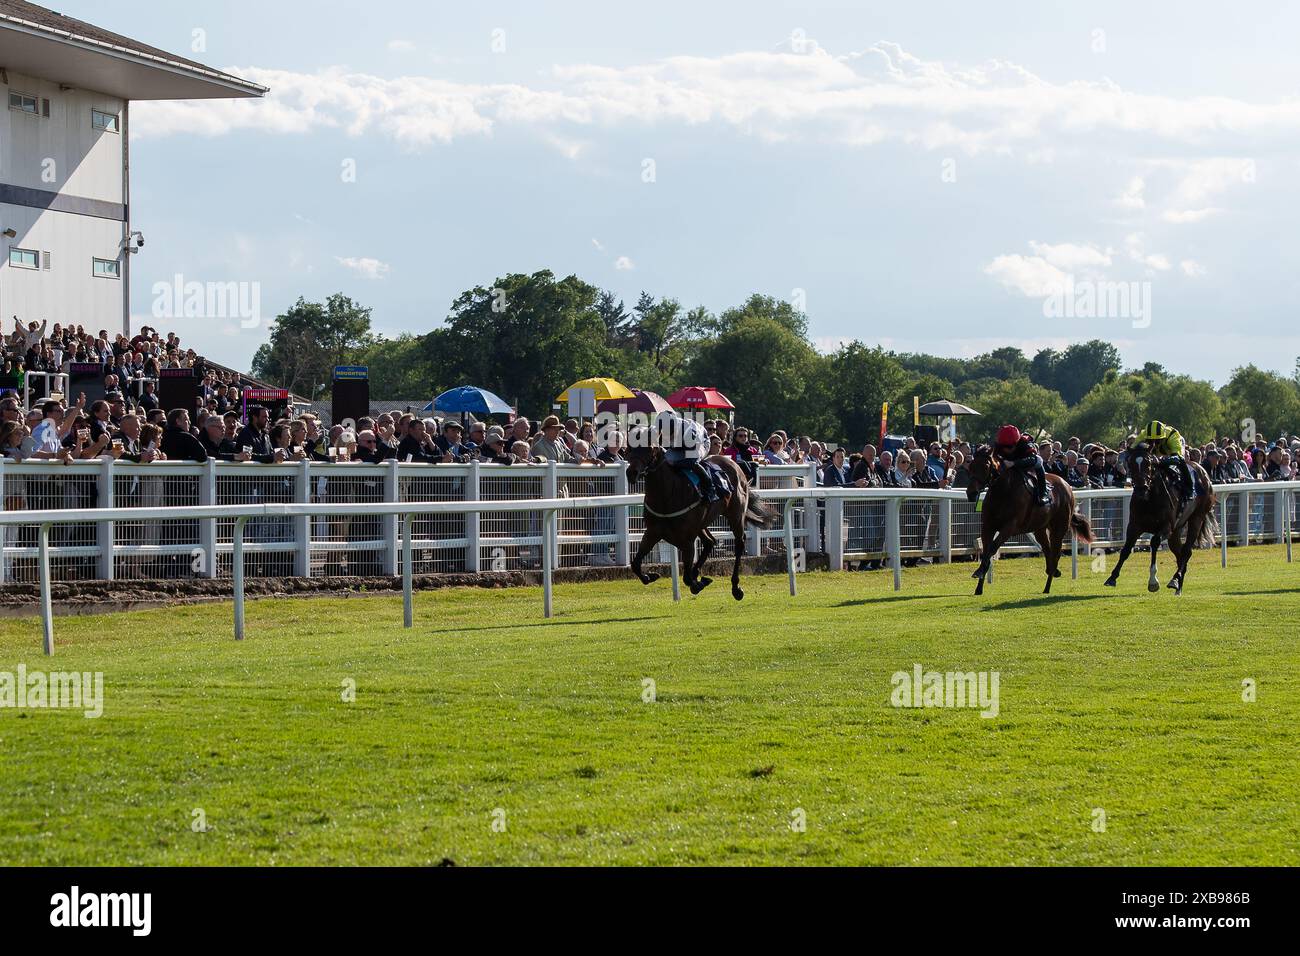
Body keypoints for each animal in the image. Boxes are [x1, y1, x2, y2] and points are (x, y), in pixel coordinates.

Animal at [624, 437, 774, 600]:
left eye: (650, 449)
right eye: (629, 447)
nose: (631, 473)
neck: (666, 495)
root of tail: (734, 463)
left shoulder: (687, 541)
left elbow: (687, 578)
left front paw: (699, 583)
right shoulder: (652, 533)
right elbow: (635, 564)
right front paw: (650, 576)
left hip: (735, 514)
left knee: (739, 544)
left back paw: (736, 588)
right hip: (702, 523)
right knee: (710, 542)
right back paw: (698, 573)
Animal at [961, 444, 1092, 595]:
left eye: (986, 466)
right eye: (971, 465)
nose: (971, 493)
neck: (1003, 491)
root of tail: (1066, 484)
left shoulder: (1009, 527)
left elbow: (992, 548)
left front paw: (979, 573)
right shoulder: (987, 526)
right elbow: (987, 551)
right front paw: (979, 586)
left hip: (1059, 528)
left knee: (1055, 553)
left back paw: (1048, 584)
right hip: (1040, 529)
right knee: (1048, 551)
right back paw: (1052, 572)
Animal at [1102, 444, 1211, 595]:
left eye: (1149, 463)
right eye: (1130, 463)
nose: (1141, 489)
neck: (1150, 499)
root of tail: (1202, 471)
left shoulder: (1166, 527)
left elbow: (1154, 542)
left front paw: (1153, 581)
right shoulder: (1134, 525)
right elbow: (1126, 549)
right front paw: (1112, 577)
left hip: (1196, 518)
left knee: (1186, 551)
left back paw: (1175, 579)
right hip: (1176, 531)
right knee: (1181, 552)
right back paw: (1178, 586)